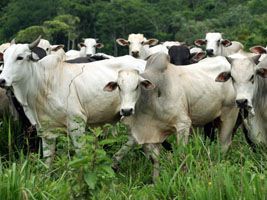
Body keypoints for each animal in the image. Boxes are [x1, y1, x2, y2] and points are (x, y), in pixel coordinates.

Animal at [0, 36, 147, 165]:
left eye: (20, 57)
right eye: (4, 57)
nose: (2, 80)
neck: (43, 82)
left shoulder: (77, 123)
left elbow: (81, 154)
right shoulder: (46, 131)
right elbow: (48, 160)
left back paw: (115, 160)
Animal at [104, 52, 239, 181]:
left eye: (137, 86)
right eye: (119, 87)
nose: (126, 110)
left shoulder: (183, 124)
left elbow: (181, 155)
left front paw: (184, 176)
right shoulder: (152, 132)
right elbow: (154, 159)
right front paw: (156, 181)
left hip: (230, 114)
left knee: (224, 144)